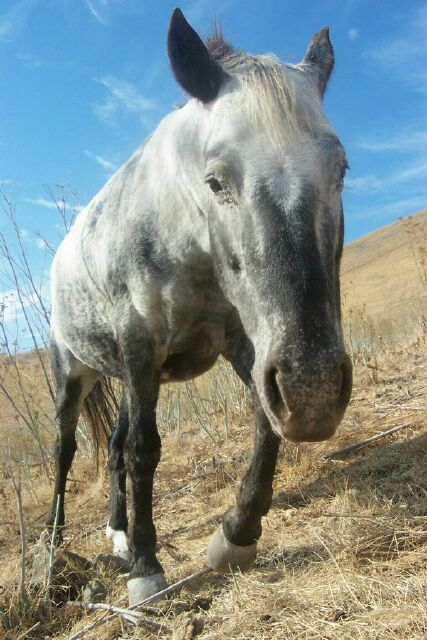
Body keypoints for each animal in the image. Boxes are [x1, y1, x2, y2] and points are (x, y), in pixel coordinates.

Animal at [46, 8, 352, 605]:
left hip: (126, 378)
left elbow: (264, 419)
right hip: (76, 371)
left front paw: (237, 533)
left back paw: (118, 531)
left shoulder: (247, 343)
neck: (184, 236)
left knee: (112, 445)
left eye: (342, 170)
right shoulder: (141, 343)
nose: (316, 392)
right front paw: (147, 567)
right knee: (68, 448)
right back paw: (55, 541)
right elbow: (145, 449)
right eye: (215, 181)